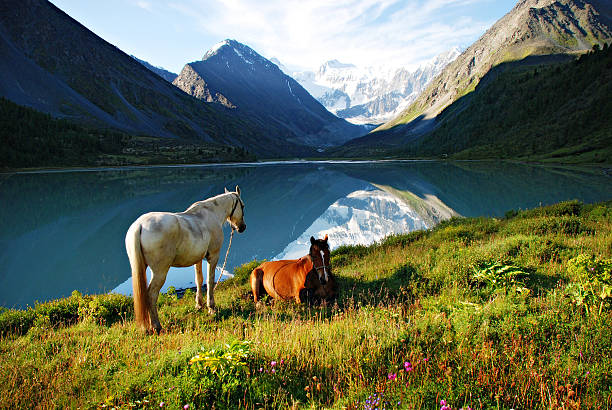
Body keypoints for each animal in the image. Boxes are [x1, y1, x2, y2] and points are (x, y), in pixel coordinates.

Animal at [124, 186, 246, 334]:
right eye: (243, 206)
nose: (242, 227)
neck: (211, 213)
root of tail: (140, 226)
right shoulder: (213, 256)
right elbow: (210, 281)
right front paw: (211, 307)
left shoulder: (198, 259)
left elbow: (199, 280)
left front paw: (199, 305)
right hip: (160, 272)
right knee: (151, 295)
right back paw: (156, 326)